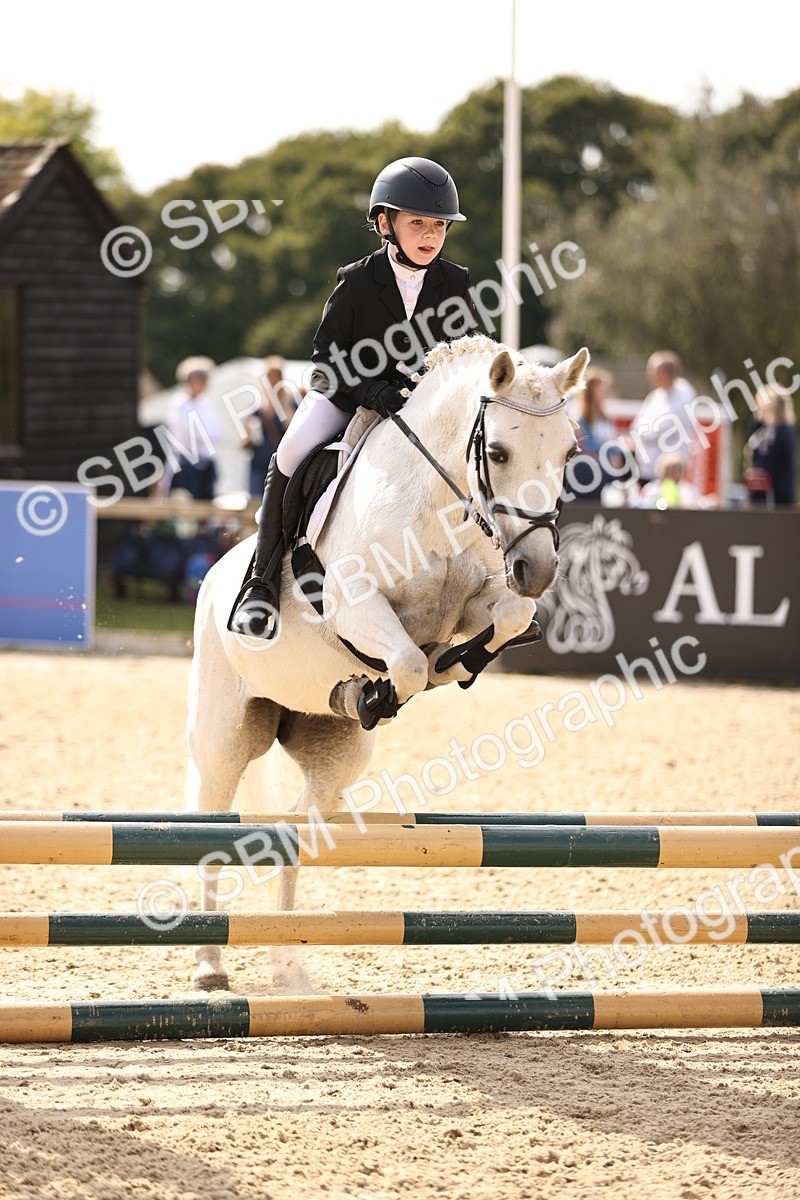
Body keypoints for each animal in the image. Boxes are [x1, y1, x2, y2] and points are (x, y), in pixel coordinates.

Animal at [186, 333, 589, 991]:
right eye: (497, 452)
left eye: (569, 451)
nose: (539, 569)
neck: (435, 503)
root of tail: (215, 573)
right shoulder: (354, 604)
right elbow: (406, 663)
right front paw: (375, 690)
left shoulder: (482, 597)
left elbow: (506, 619)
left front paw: (455, 663)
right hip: (225, 737)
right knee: (211, 826)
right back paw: (208, 966)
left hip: (335, 754)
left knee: (295, 828)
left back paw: (288, 964)